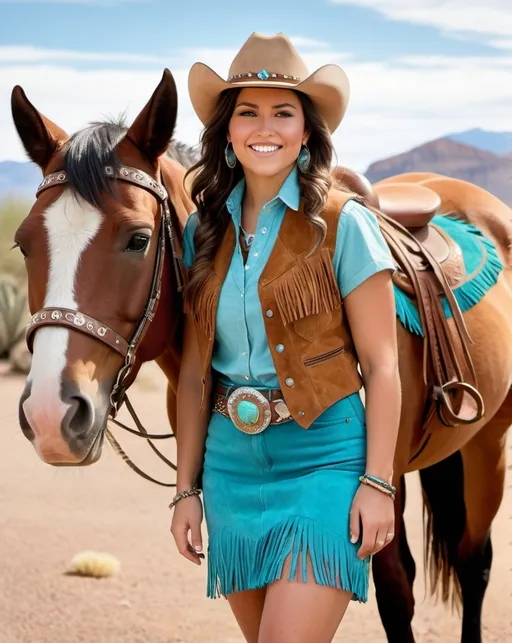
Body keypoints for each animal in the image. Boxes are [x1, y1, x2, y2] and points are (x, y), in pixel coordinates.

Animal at [10, 71, 512, 643]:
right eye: (24, 244)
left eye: (138, 239)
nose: (50, 415)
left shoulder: (378, 493)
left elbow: (395, 591)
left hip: (489, 442)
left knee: (475, 563)